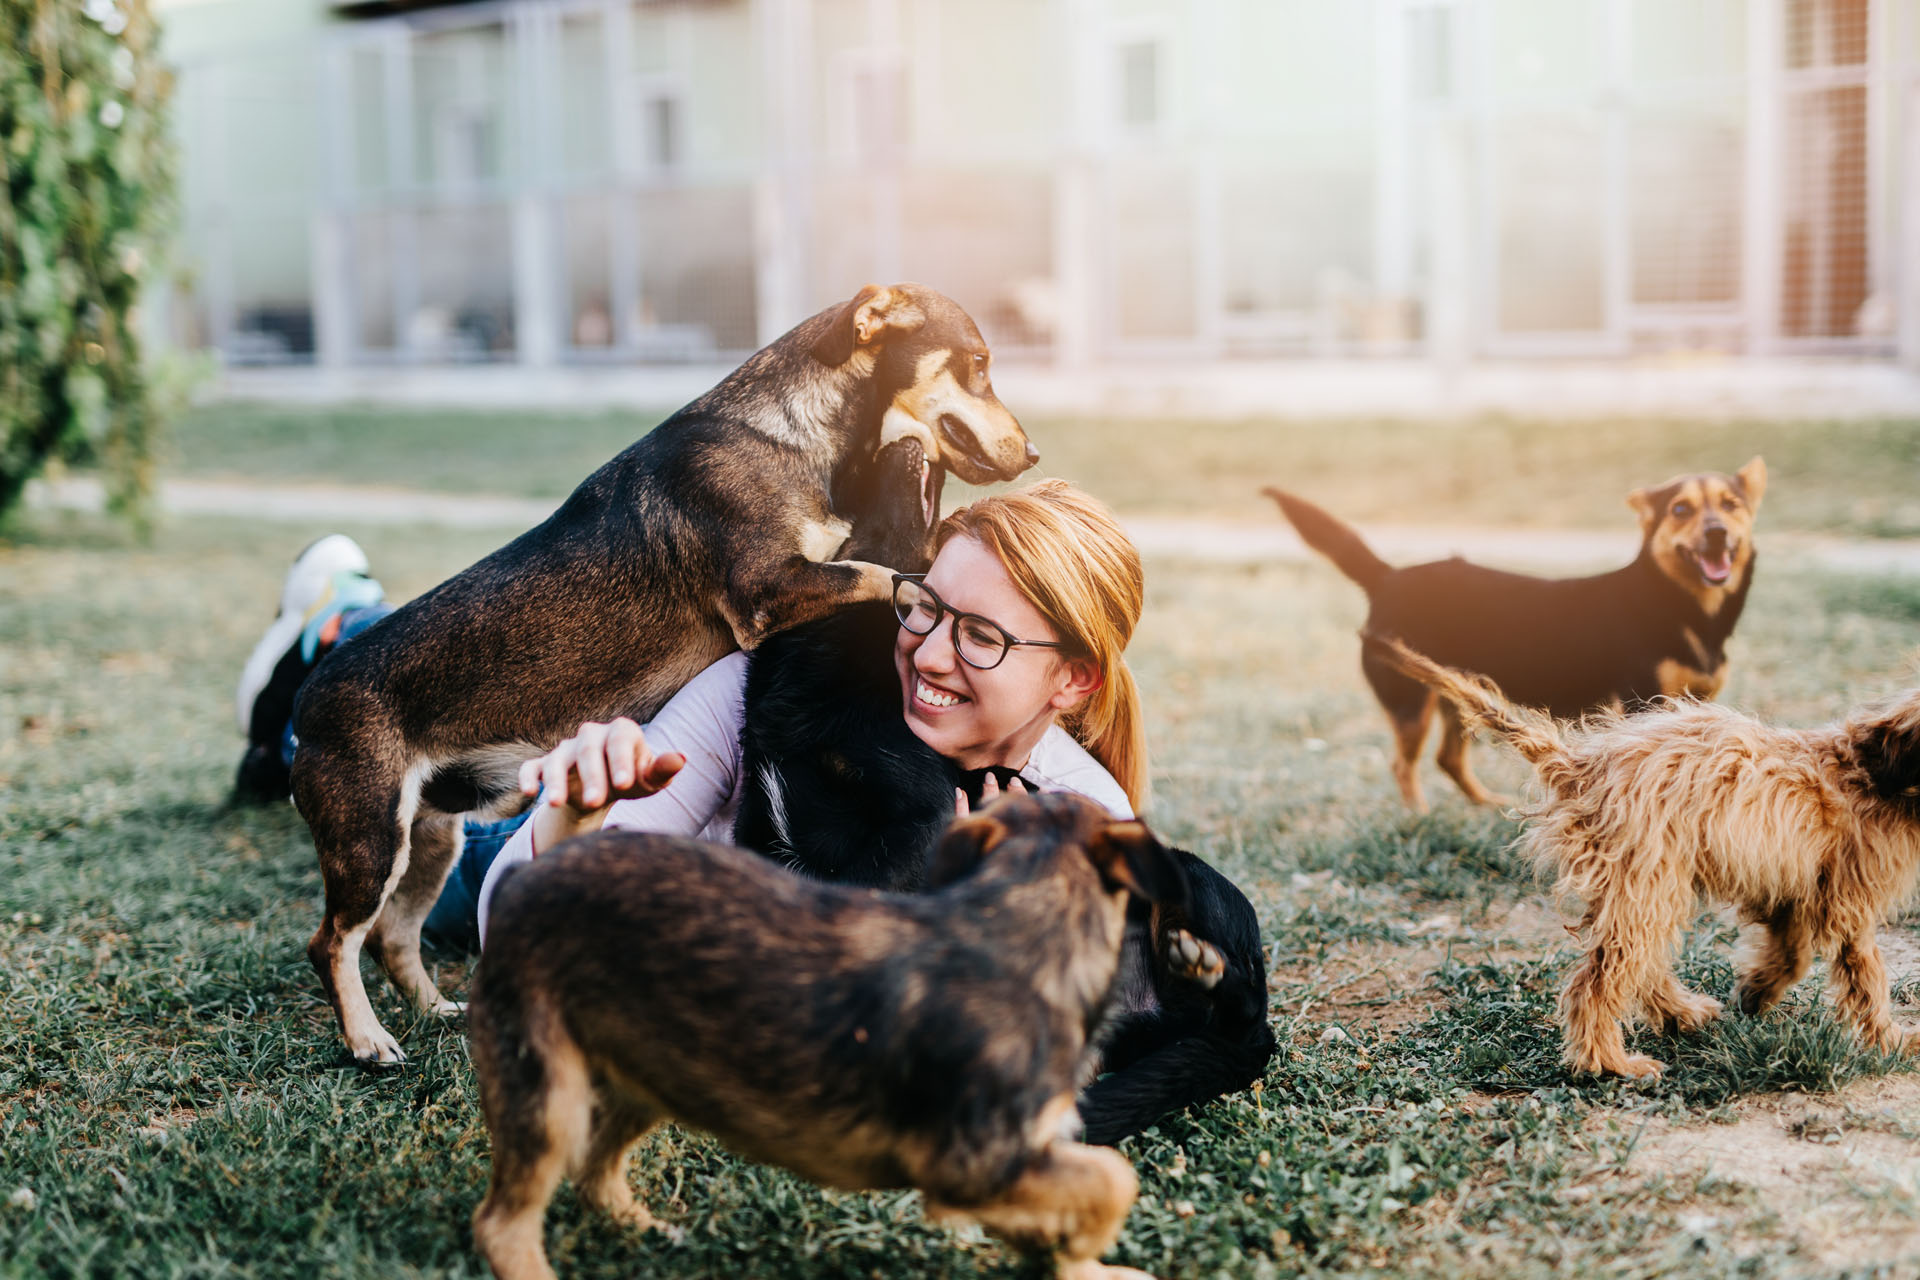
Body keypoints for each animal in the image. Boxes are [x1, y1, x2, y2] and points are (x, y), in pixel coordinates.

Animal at [470, 794, 1175, 1274]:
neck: (1023, 921)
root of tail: (522, 877)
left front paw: (1080, 1264)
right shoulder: (969, 1167)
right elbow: (1114, 1179)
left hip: (654, 1072)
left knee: (595, 1173)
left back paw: (643, 1229)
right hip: (547, 1094)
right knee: (501, 1223)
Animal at [1267, 454, 1758, 805]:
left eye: (1731, 505)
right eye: (1681, 509)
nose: (1716, 533)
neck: (1676, 603)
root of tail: (1389, 576)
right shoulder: (1642, 705)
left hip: (1458, 694)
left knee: (1448, 759)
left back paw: (1485, 808)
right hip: (1410, 702)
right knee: (1403, 768)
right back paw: (1418, 819)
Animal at [1374, 637, 1920, 1074]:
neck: (1878, 770)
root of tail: (1581, 764)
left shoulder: (1791, 885)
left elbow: (1791, 953)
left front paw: (1755, 993)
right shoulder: (1847, 902)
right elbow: (1866, 976)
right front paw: (1890, 1040)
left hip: (1645, 886)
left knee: (1636, 965)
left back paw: (1681, 1014)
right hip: (1648, 879)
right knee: (1597, 982)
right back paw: (1611, 1063)